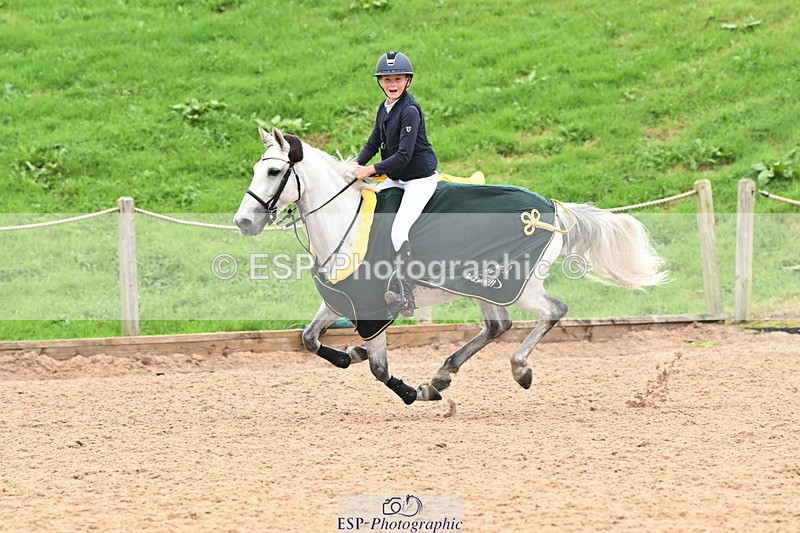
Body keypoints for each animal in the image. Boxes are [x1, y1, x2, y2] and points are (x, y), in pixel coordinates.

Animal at [234, 127, 669, 405]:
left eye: (274, 171)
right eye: (256, 169)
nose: (243, 222)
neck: (346, 220)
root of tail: (553, 208)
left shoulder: (372, 307)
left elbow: (378, 368)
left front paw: (411, 392)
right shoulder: (341, 298)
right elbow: (308, 339)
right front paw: (349, 355)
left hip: (519, 286)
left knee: (553, 311)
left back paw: (518, 370)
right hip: (486, 285)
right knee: (497, 325)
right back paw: (443, 375)